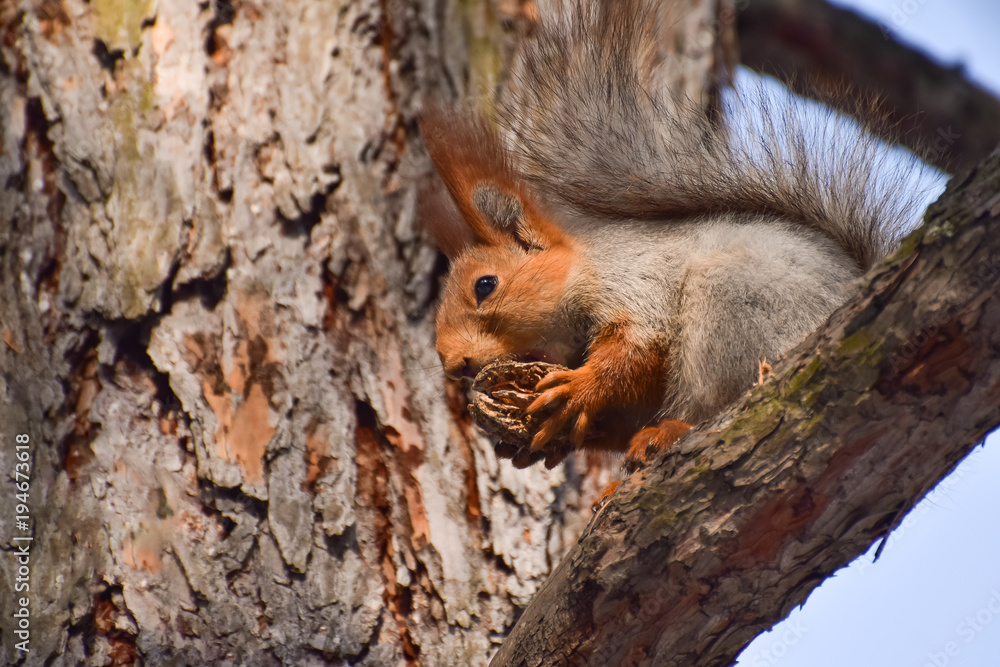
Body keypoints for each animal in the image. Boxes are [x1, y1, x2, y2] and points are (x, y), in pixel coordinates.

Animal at [418, 0, 924, 472]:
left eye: (486, 286)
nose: (452, 364)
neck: (585, 263)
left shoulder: (638, 279)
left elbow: (638, 349)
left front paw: (580, 388)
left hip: (733, 302)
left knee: (708, 399)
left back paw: (672, 430)